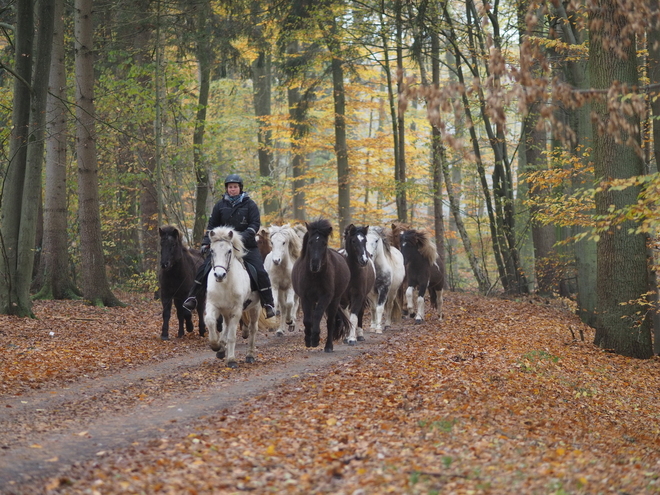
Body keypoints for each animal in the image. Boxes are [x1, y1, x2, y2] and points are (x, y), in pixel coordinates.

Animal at [205, 228, 262, 368]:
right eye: (212, 251)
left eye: (229, 251)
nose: (219, 275)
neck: (224, 284)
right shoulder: (213, 305)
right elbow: (210, 320)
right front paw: (215, 345)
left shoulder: (236, 311)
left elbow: (231, 336)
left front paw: (231, 360)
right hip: (225, 312)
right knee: (225, 326)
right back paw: (221, 349)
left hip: (255, 308)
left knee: (253, 329)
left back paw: (250, 356)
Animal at [294, 218, 354, 352]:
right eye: (310, 242)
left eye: (324, 243)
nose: (315, 265)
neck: (314, 276)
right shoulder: (305, 297)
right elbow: (307, 319)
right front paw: (308, 340)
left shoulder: (326, 296)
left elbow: (317, 316)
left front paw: (315, 339)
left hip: (335, 300)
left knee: (330, 322)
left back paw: (328, 346)